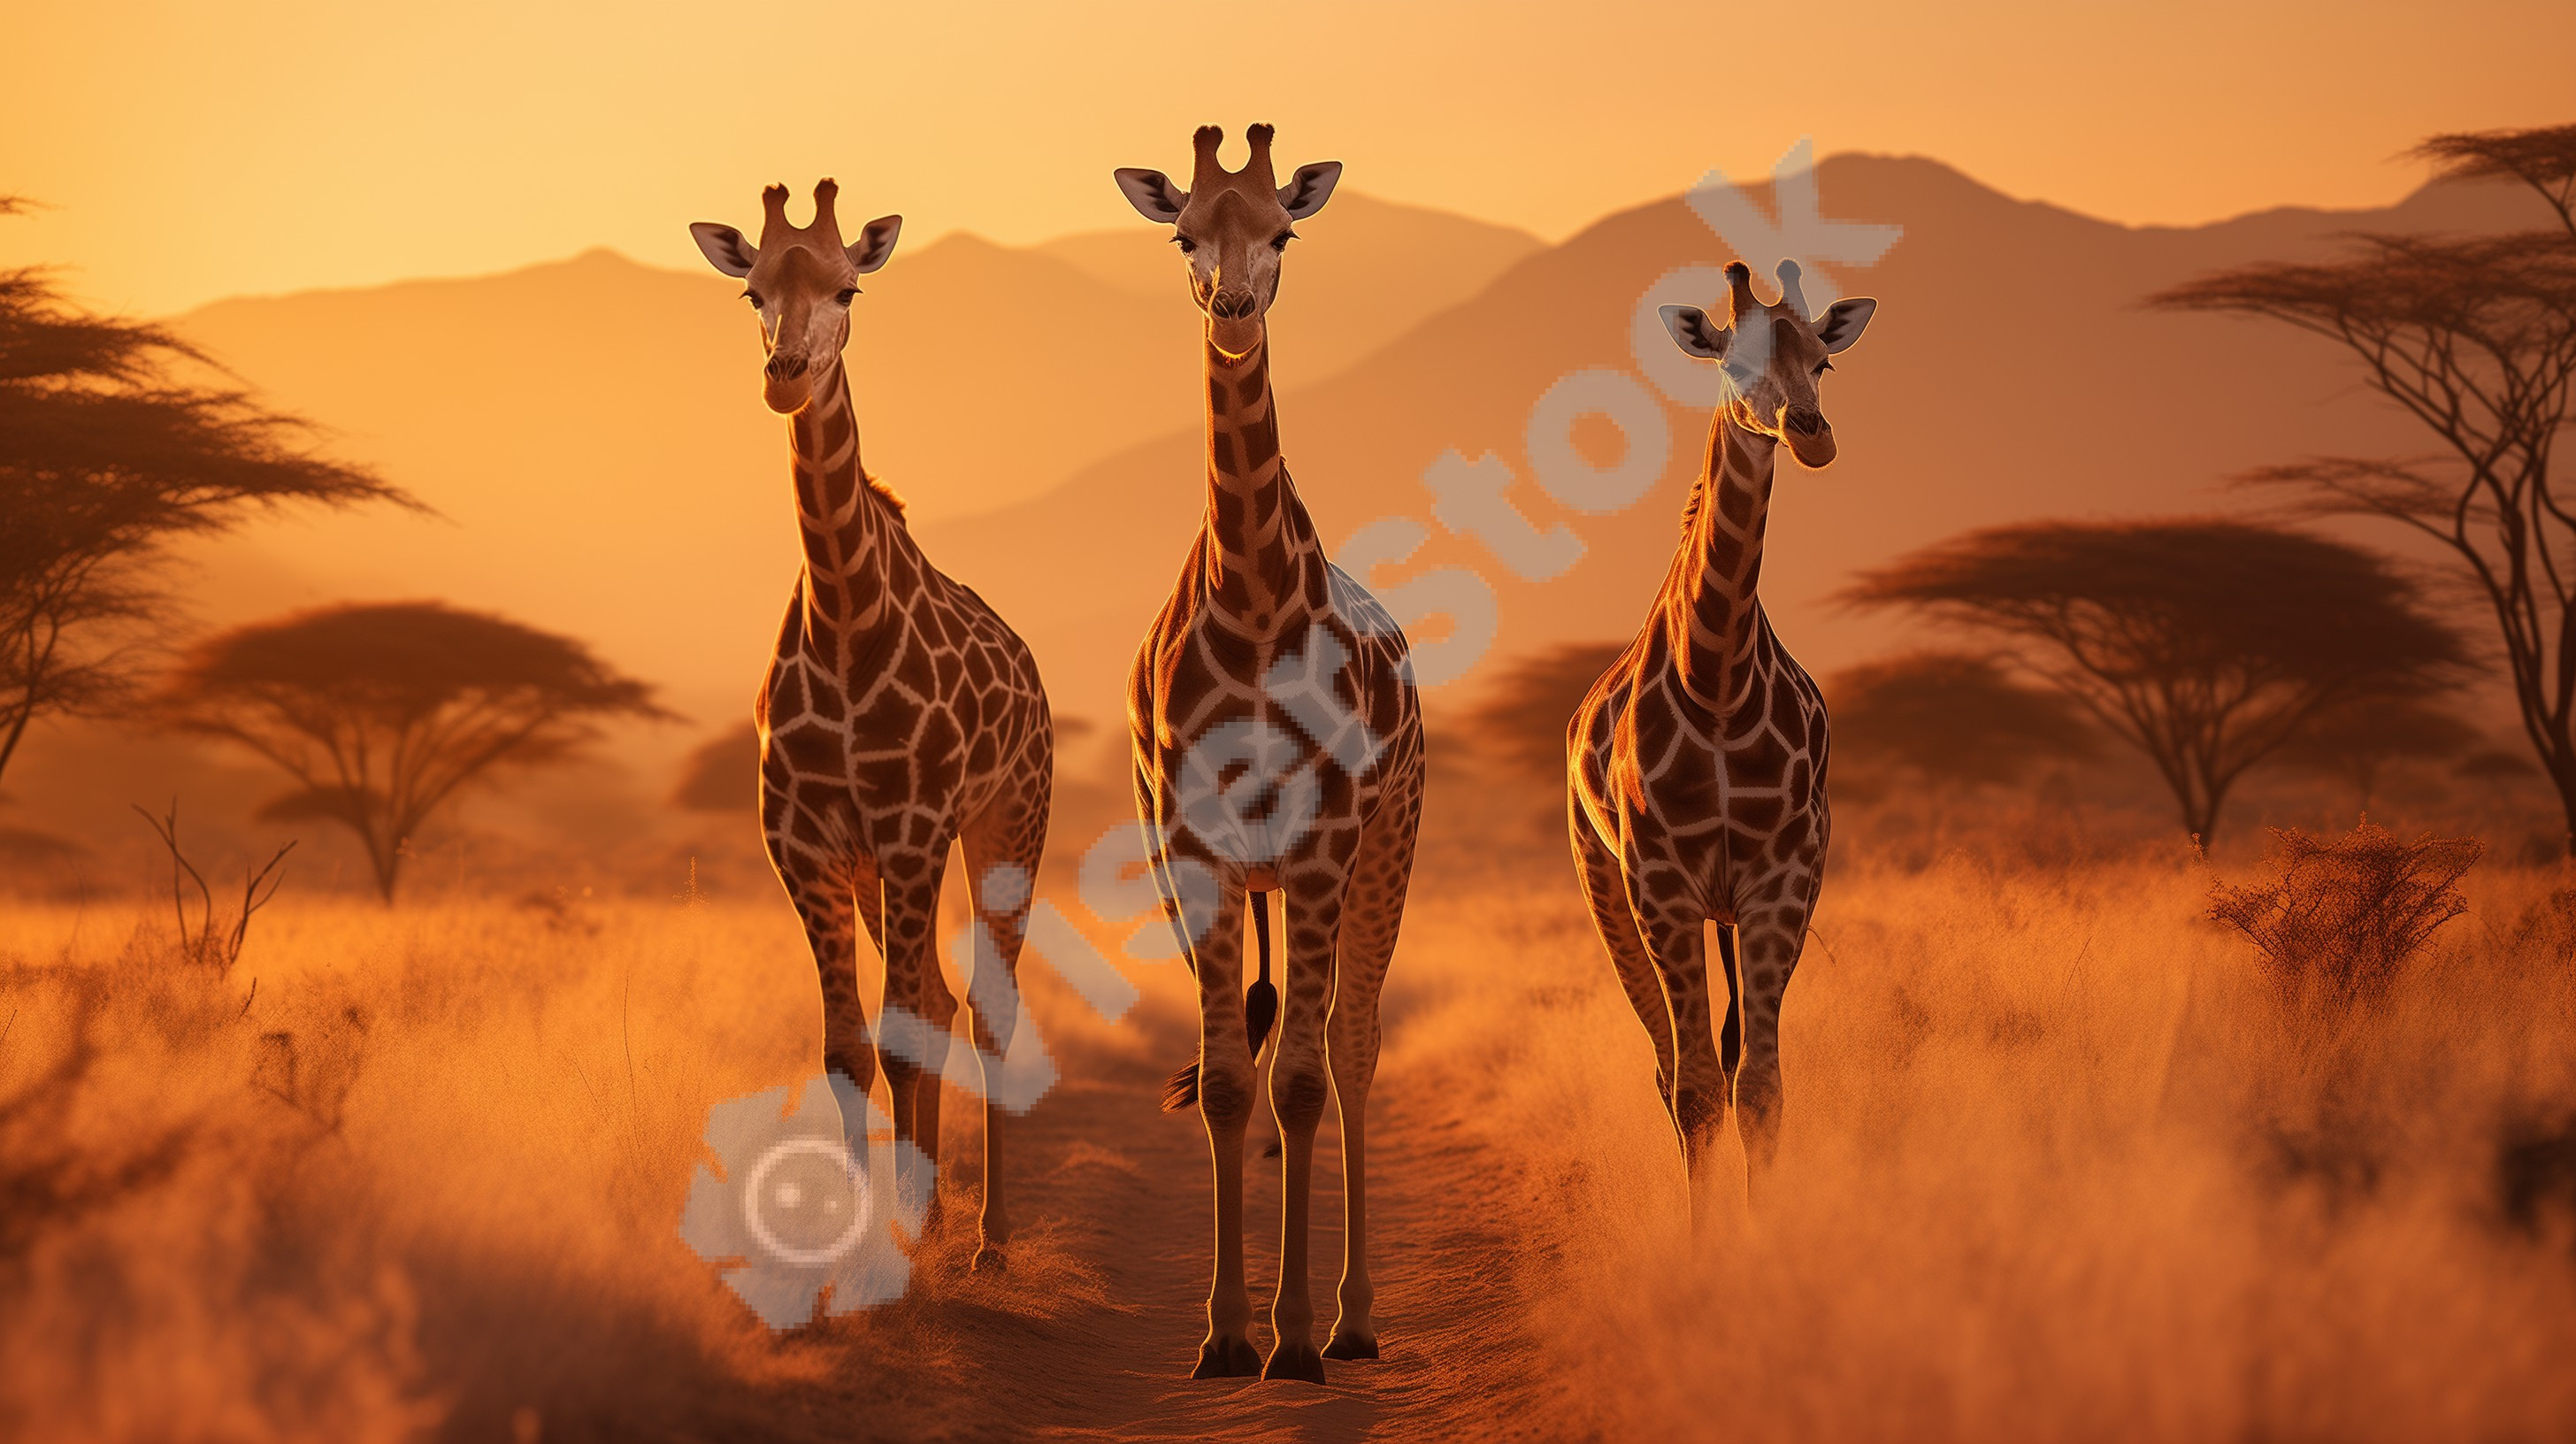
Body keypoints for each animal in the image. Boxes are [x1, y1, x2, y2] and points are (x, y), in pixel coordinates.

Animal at [688, 181, 1053, 1270]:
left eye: (848, 286)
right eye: (752, 292)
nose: (785, 376)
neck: (846, 623)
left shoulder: (914, 827)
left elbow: (902, 1032)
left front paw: (909, 1230)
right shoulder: (804, 843)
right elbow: (849, 1044)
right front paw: (858, 1239)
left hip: (1005, 826)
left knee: (986, 1009)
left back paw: (986, 1236)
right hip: (877, 867)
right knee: (932, 999)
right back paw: (929, 1212)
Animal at [1567, 259, 1876, 1206]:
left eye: (1824, 362)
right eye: (1733, 364)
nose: (1811, 435)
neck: (1719, 683)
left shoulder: (1782, 879)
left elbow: (1762, 1089)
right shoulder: (1660, 886)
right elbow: (1700, 1090)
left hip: (1730, 911)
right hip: (1606, 888)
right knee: (1672, 1073)